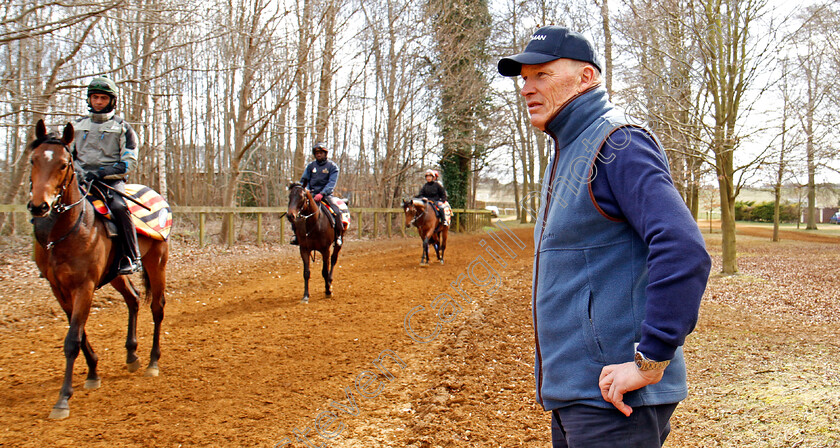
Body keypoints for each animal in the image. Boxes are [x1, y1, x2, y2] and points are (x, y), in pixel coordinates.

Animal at [26, 120, 168, 420]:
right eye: (33, 160)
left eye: (63, 164)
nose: (39, 206)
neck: (66, 230)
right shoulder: (59, 289)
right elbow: (79, 334)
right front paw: (93, 373)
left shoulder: (85, 286)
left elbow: (72, 339)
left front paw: (63, 399)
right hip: (115, 274)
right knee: (133, 299)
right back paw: (132, 355)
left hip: (157, 262)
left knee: (157, 308)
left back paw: (152, 362)